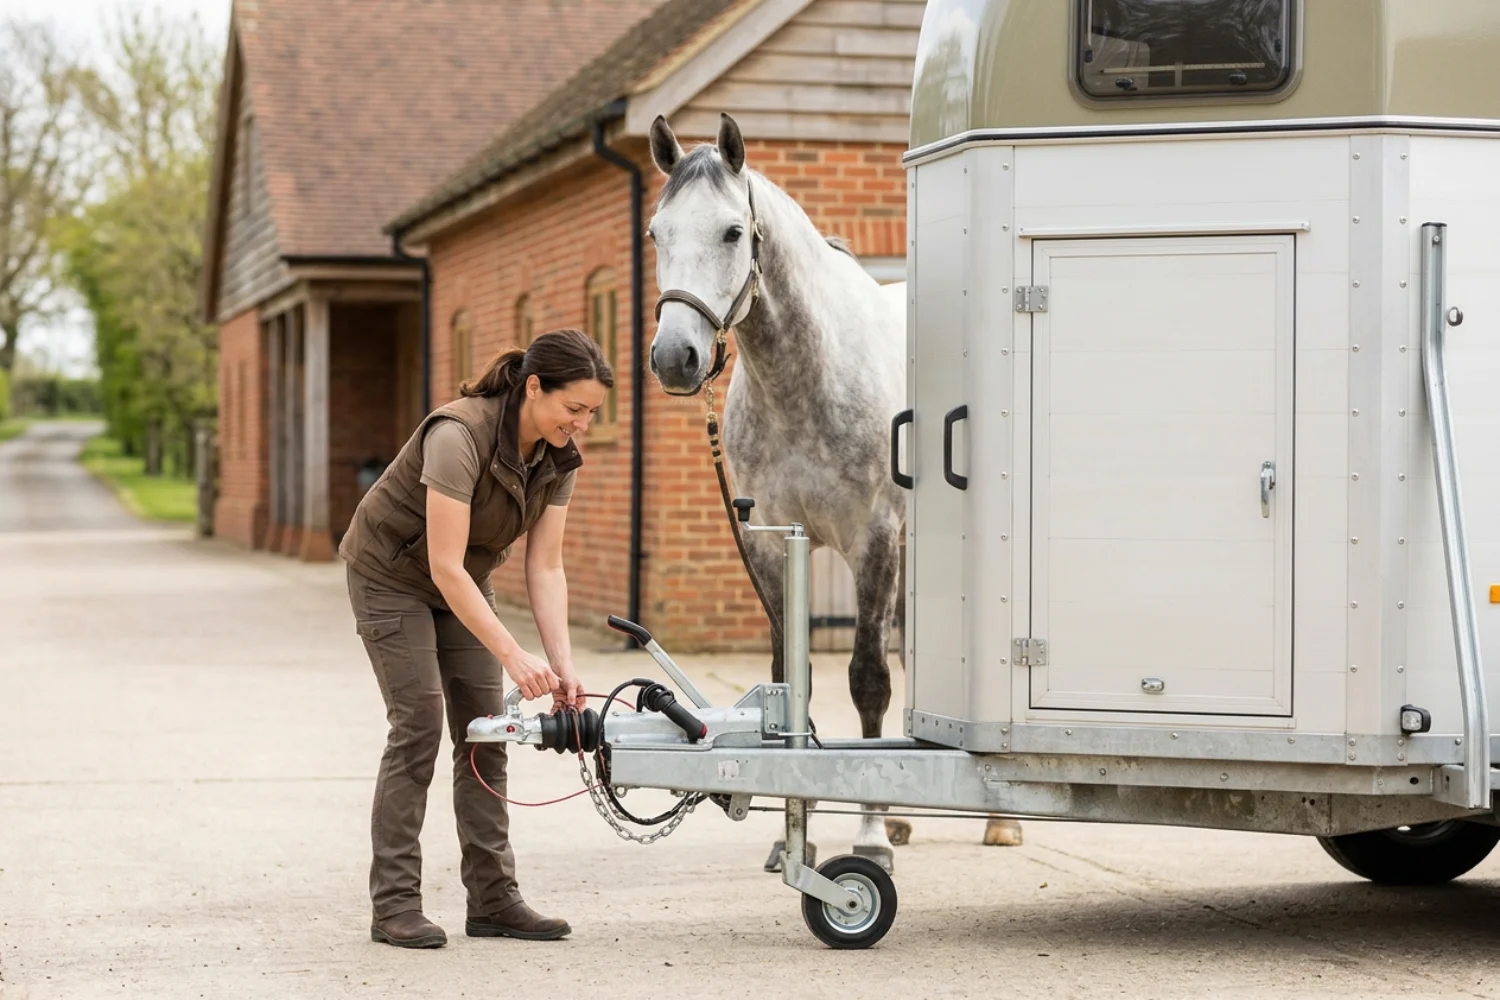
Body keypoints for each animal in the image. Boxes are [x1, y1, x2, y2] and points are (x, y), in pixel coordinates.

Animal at [643, 112, 1022, 871]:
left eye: (732, 232)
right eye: (655, 233)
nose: (675, 358)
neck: (808, 376)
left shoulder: (871, 540)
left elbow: (867, 679)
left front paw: (869, 839)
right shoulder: (770, 546)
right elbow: (792, 679)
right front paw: (801, 830)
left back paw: (998, 825)